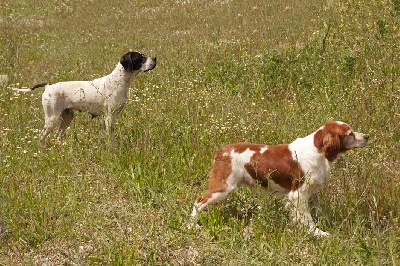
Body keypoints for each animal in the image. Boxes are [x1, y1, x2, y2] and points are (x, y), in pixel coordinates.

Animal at [12, 51, 156, 148]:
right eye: (140, 58)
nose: (155, 58)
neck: (119, 81)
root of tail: (48, 86)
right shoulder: (109, 116)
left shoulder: (112, 116)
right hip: (52, 118)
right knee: (41, 137)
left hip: (67, 118)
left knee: (56, 136)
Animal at [191, 121, 368, 237]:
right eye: (350, 134)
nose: (367, 136)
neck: (318, 150)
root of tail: (222, 151)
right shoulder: (298, 193)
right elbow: (307, 218)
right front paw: (318, 233)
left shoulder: (311, 193)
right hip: (223, 187)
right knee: (199, 201)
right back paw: (191, 225)